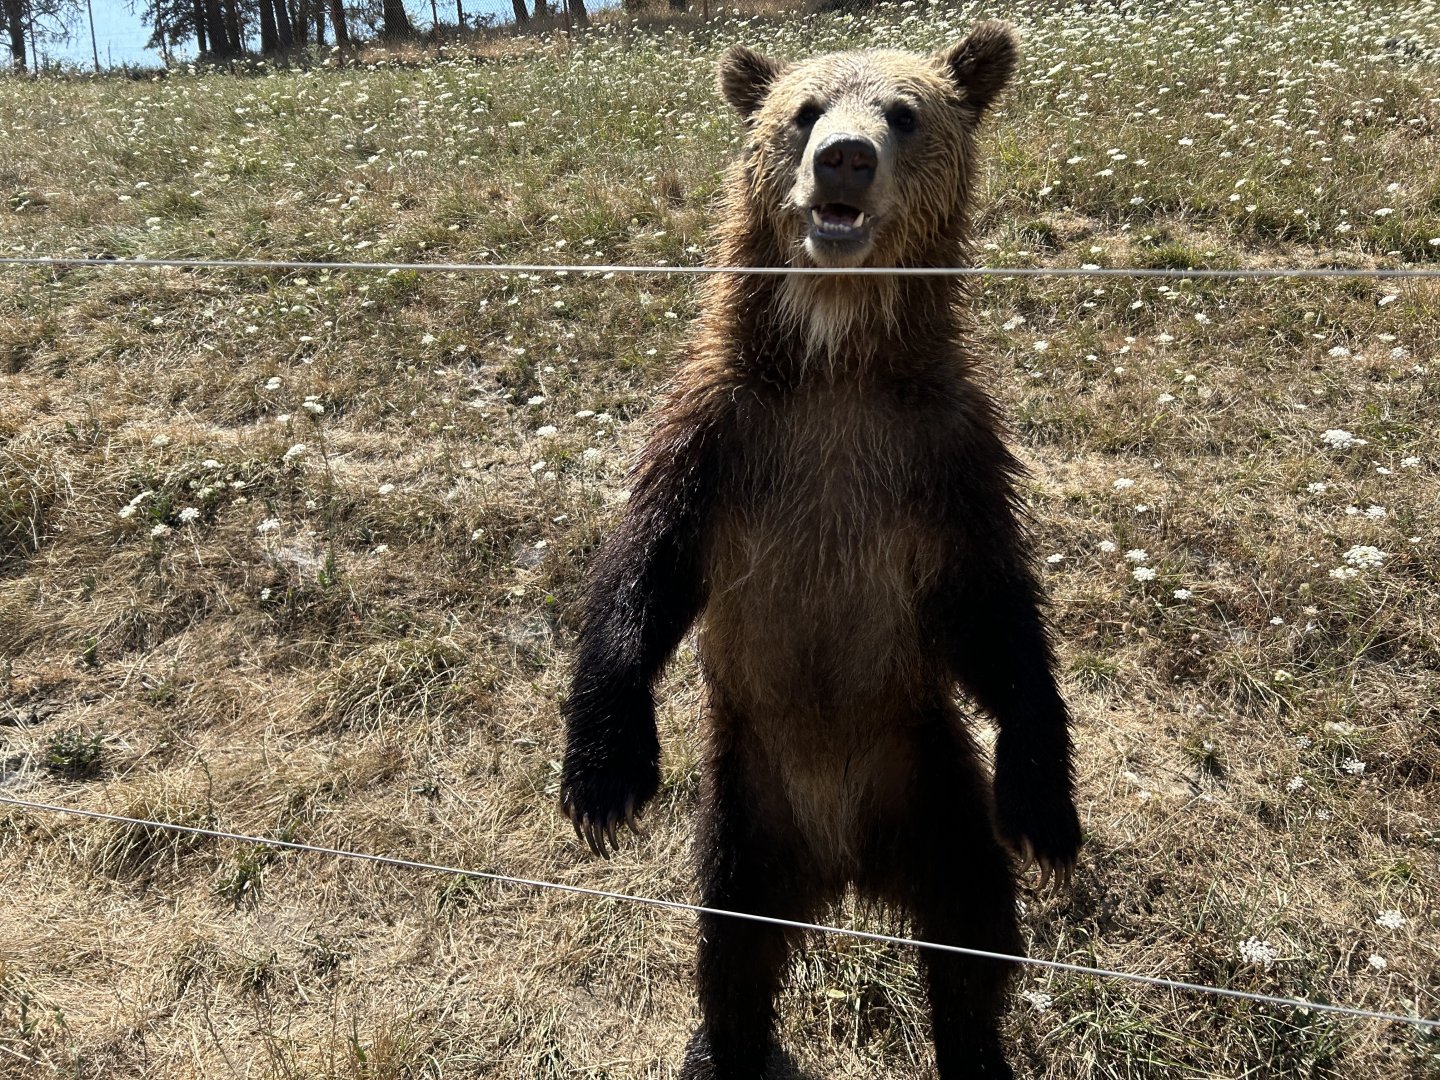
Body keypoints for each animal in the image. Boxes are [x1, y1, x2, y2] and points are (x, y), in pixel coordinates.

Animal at [559, 22, 1081, 1079]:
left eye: (905, 112)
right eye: (801, 112)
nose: (843, 157)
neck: (836, 367)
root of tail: (841, 865)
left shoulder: (943, 457)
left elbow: (997, 614)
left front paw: (1049, 807)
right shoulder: (721, 437)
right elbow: (645, 569)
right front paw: (603, 774)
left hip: (931, 780)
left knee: (973, 929)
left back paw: (975, 1048)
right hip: (747, 810)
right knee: (732, 947)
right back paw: (725, 1046)